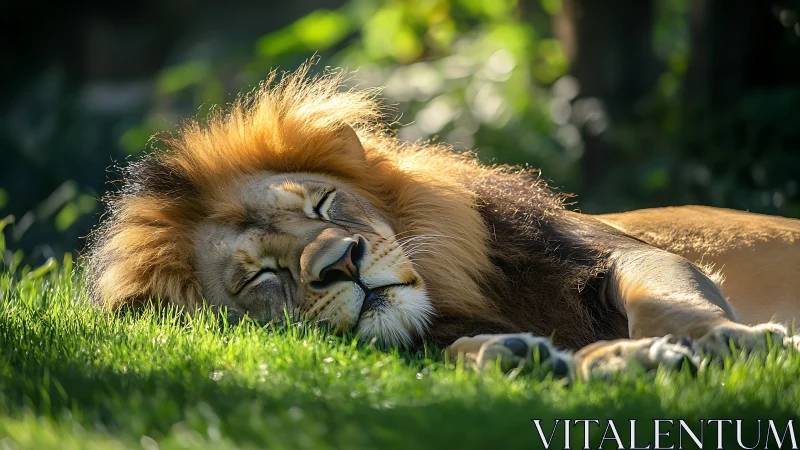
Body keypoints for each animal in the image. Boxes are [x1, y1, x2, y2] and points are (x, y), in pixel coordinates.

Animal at [88, 66, 800, 380]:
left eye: (322, 204)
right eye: (262, 275)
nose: (340, 262)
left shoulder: (617, 253)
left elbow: (666, 303)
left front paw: (727, 341)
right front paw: (566, 359)